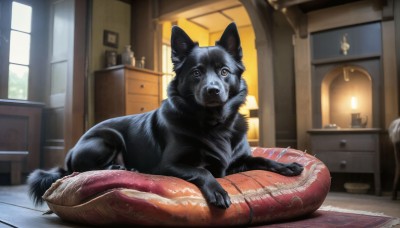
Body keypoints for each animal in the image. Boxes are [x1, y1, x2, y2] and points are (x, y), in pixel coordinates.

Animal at [27, 22, 304, 208]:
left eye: (224, 72)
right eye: (196, 73)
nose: (212, 90)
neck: (214, 124)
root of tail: (70, 153)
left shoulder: (239, 160)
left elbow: (262, 159)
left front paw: (287, 165)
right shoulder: (168, 165)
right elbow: (203, 171)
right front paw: (217, 191)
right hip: (106, 139)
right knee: (83, 170)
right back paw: (122, 167)